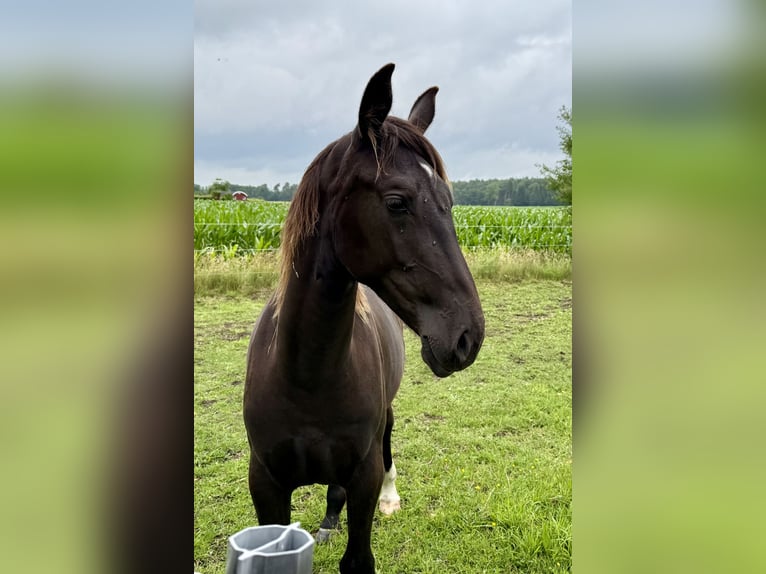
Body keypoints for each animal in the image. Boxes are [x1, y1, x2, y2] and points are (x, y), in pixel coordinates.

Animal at [243, 63, 485, 574]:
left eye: (450, 202)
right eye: (397, 202)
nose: (467, 337)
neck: (306, 375)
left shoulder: (363, 475)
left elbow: (358, 557)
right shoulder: (266, 484)